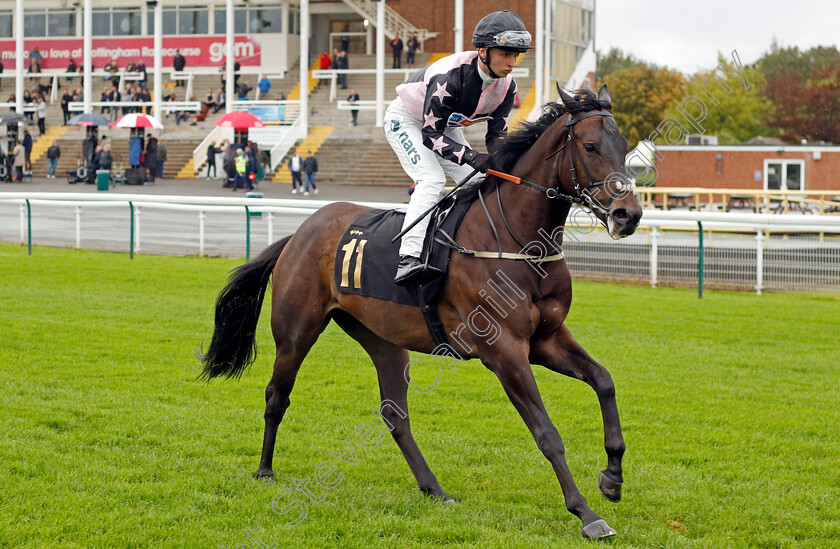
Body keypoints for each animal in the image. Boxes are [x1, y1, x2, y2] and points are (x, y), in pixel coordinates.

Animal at [202, 86, 644, 540]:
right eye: (590, 147)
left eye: (626, 146)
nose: (629, 215)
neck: (516, 241)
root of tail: (299, 233)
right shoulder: (503, 350)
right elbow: (547, 432)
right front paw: (586, 514)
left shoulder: (546, 339)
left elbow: (604, 381)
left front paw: (612, 478)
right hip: (296, 332)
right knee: (277, 394)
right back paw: (264, 469)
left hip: (382, 339)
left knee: (394, 414)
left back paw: (434, 488)